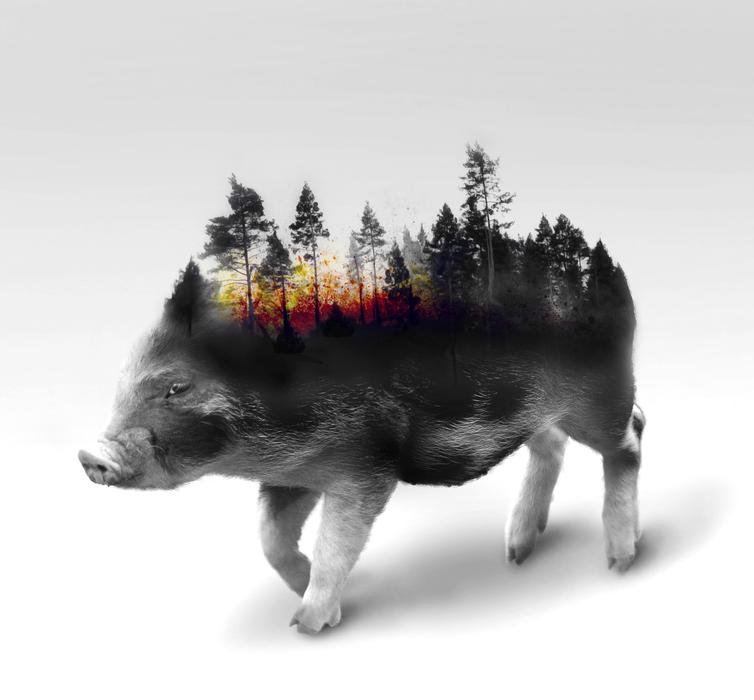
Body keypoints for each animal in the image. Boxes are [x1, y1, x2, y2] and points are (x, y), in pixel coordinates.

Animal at [79, 301, 645, 634]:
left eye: (178, 387)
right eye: (121, 385)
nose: (90, 455)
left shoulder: (364, 469)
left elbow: (337, 542)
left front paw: (305, 624)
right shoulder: (293, 474)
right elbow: (270, 538)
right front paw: (303, 591)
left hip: (596, 399)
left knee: (632, 434)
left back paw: (620, 561)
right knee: (552, 444)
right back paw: (516, 552)